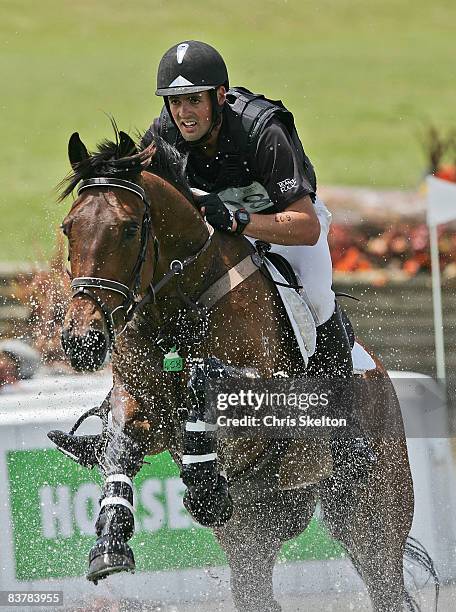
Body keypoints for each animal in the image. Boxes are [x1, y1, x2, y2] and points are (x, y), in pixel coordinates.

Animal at [50, 125, 438, 612]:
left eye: (127, 229)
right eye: (69, 228)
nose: (81, 341)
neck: (178, 306)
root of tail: (382, 376)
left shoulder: (265, 400)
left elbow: (205, 385)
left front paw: (203, 484)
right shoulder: (140, 403)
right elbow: (122, 445)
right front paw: (110, 544)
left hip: (370, 516)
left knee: (382, 578)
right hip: (253, 531)